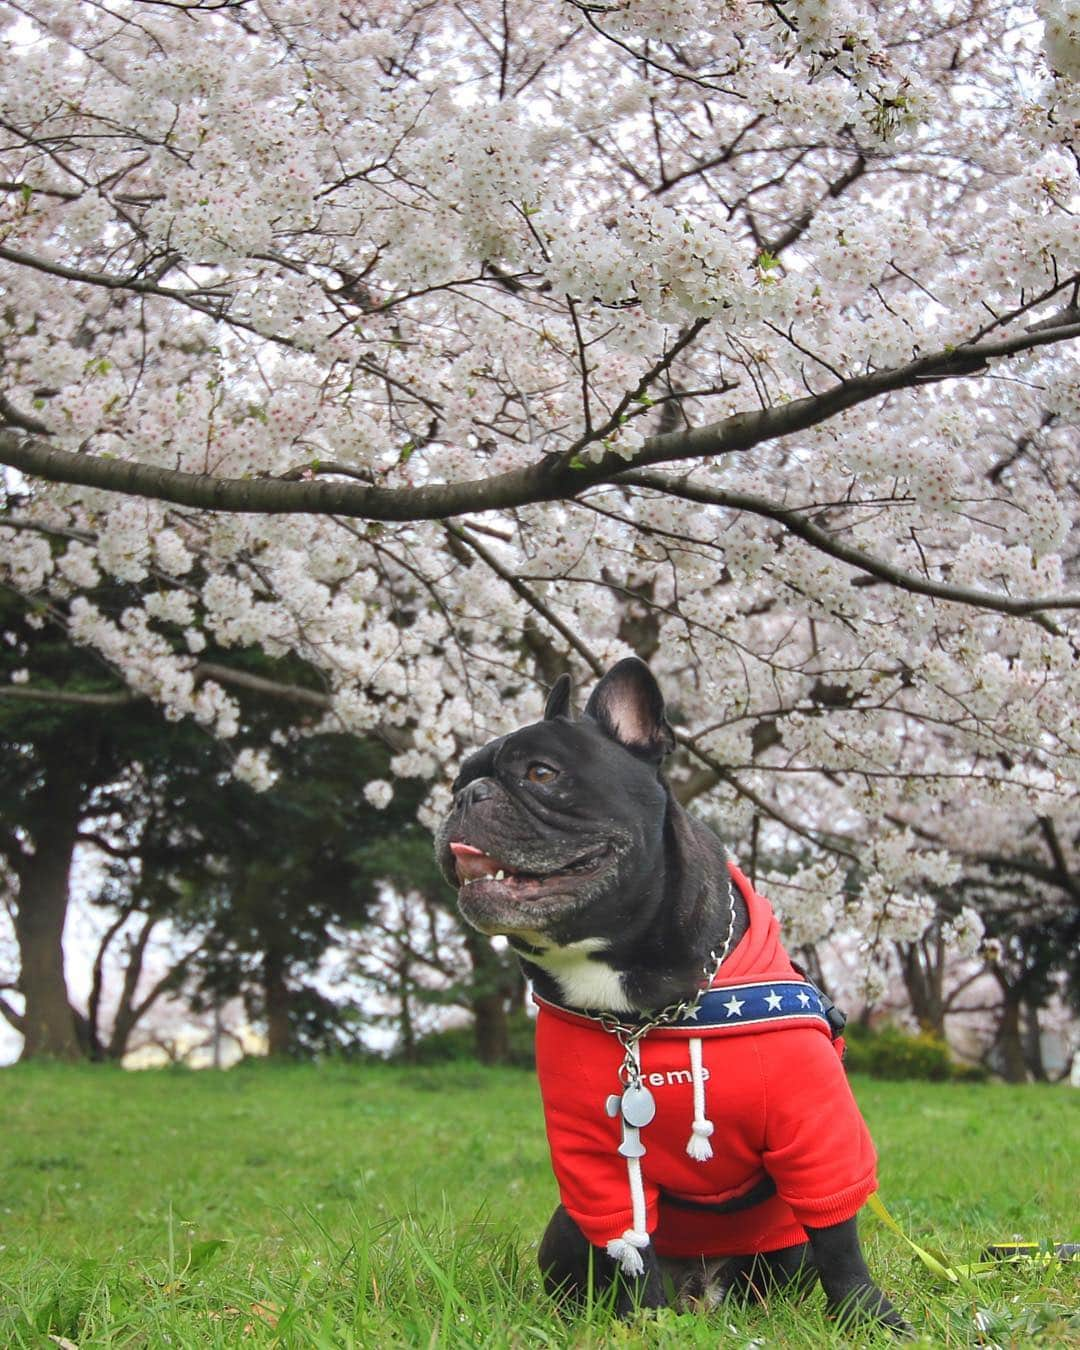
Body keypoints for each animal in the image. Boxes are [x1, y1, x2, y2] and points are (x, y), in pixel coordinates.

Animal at [434, 658, 907, 1333]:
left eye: (541, 774)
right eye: (456, 780)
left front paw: (869, 1318)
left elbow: (838, 1234)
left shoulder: (816, 1127)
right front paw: (645, 1324)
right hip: (565, 1228)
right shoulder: (598, 1160)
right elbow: (632, 1243)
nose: (465, 796)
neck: (641, 1011)